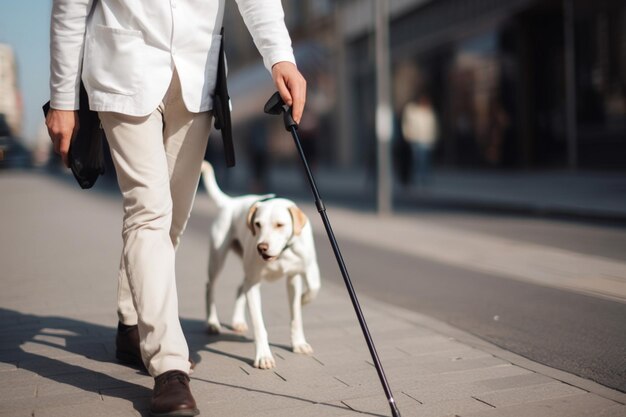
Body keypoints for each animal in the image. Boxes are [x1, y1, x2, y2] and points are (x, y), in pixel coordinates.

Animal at [201, 161, 322, 368]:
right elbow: (259, 324)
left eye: (280, 225)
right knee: (211, 286)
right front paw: (264, 356)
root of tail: (230, 202)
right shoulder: (254, 285)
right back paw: (212, 322)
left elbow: (305, 301)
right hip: (218, 259)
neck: (282, 254)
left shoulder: (299, 273)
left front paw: (299, 341)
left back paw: (237, 321)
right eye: (257, 224)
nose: (262, 247)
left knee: (239, 287)